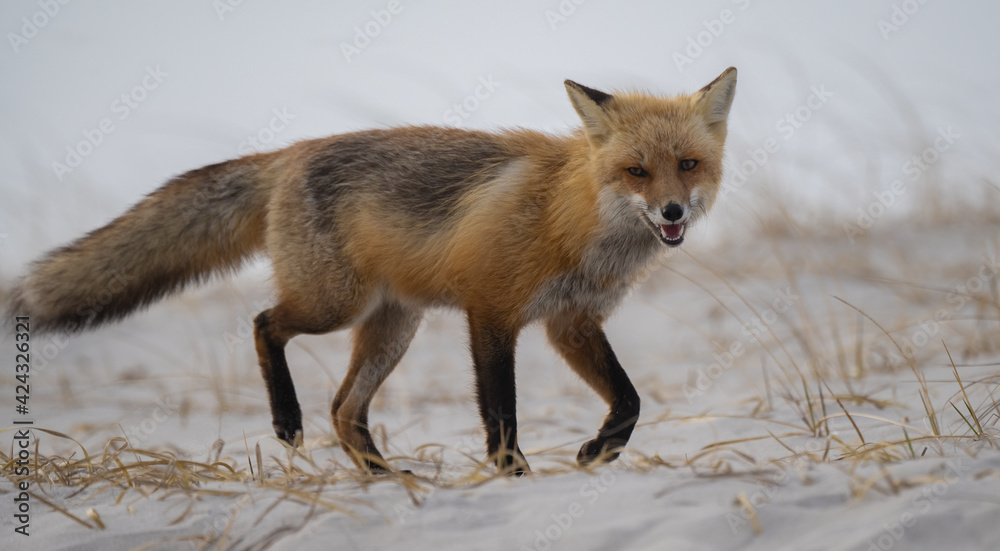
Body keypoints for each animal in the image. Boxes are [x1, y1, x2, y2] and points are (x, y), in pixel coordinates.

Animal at [7, 67, 737, 475]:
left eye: (688, 165)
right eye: (635, 171)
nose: (672, 211)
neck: (569, 217)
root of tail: (290, 150)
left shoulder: (570, 322)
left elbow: (629, 400)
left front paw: (597, 453)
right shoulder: (491, 312)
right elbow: (502, 412)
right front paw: (512, 474)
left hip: (392, 326)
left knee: (344, 408)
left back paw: (387, 478)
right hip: (335, 305)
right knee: (265, 324)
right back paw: (287, 422)